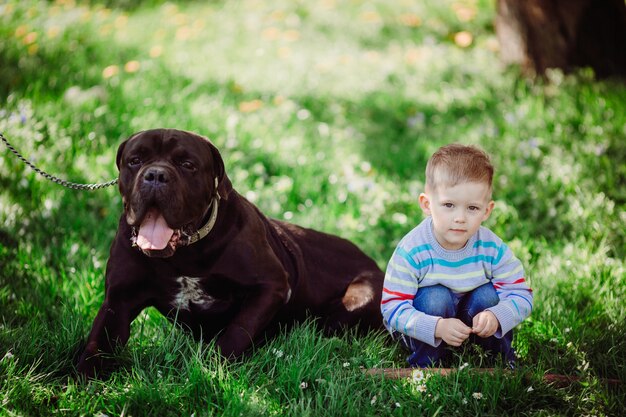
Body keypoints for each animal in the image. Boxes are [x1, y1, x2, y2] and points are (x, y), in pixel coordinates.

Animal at [76, 128, 382, 376]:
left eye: (187, 164)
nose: (156, 175)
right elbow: (96, 346)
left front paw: (210, 368)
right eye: (135, 160)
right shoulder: (118, 300)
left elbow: (237, 331)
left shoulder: (271, 285)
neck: (183, 256)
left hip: (358, 299)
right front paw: (82, 380)